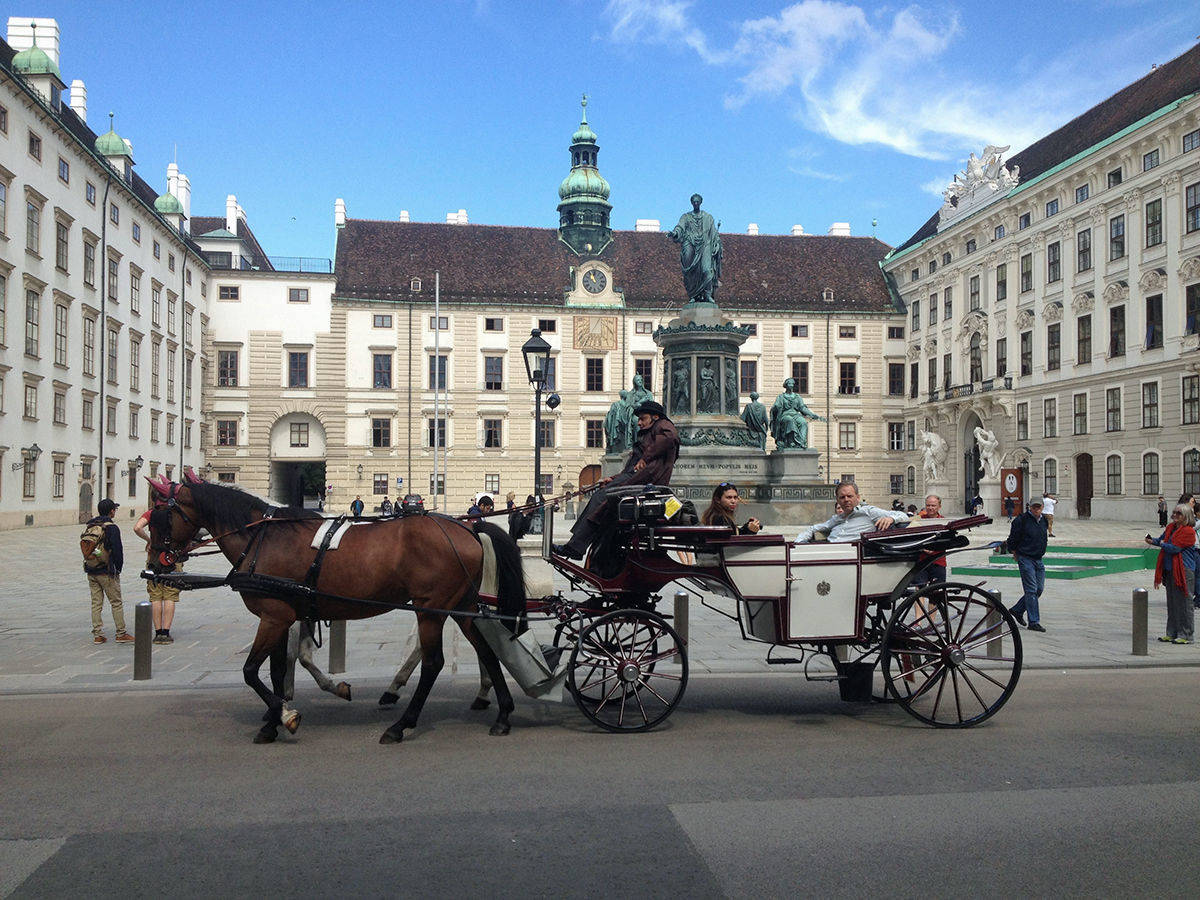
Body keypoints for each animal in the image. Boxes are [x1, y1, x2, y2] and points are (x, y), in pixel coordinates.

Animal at [146, 480, 525, 748]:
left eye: (161, 517)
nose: (154, 565)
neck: (265, 538)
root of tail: (467, 528)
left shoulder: (273, 616)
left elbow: (251, 671)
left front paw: (285, 715)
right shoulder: (282, 616)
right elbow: (277, 670)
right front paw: (273, 720)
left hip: (431, 610)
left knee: (434, 663)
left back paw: (401, 724)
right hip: (462, 606)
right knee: (487, 650)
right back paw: (503, 714)